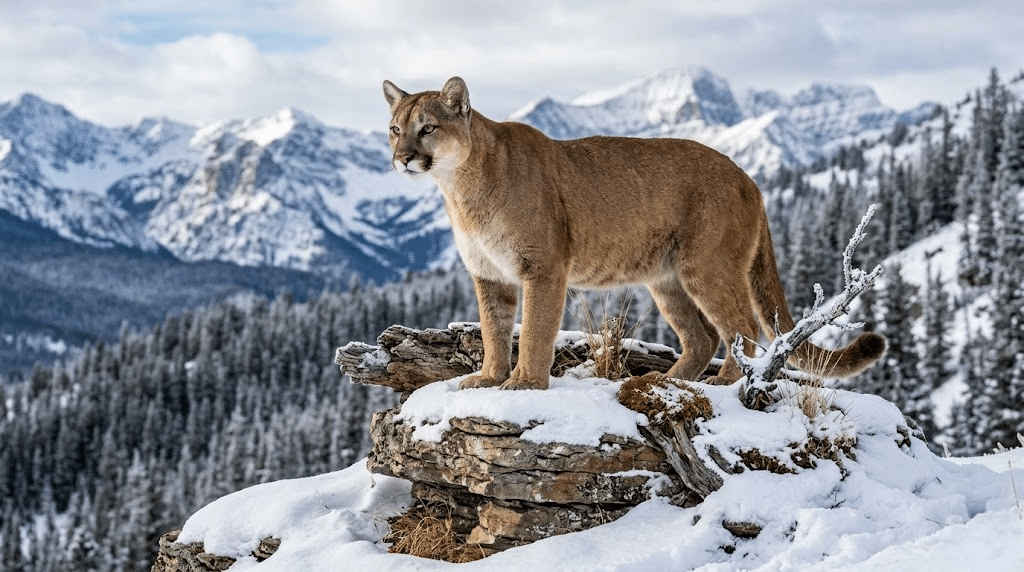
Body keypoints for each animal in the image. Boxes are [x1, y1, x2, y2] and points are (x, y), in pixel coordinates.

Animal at [382, 76, 885, 390]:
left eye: (428, 128)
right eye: (394, 128)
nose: (402, 157)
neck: (461, 187)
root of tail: (749, 177)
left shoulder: (543, 267)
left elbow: (536, 329)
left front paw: (525, 383)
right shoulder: (490, 274)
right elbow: (494, 329)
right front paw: (489, 377)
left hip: (707, 266)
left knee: (742, 329)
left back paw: (724, 382)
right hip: (666, 279)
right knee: (702, 337)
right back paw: (665, 379)